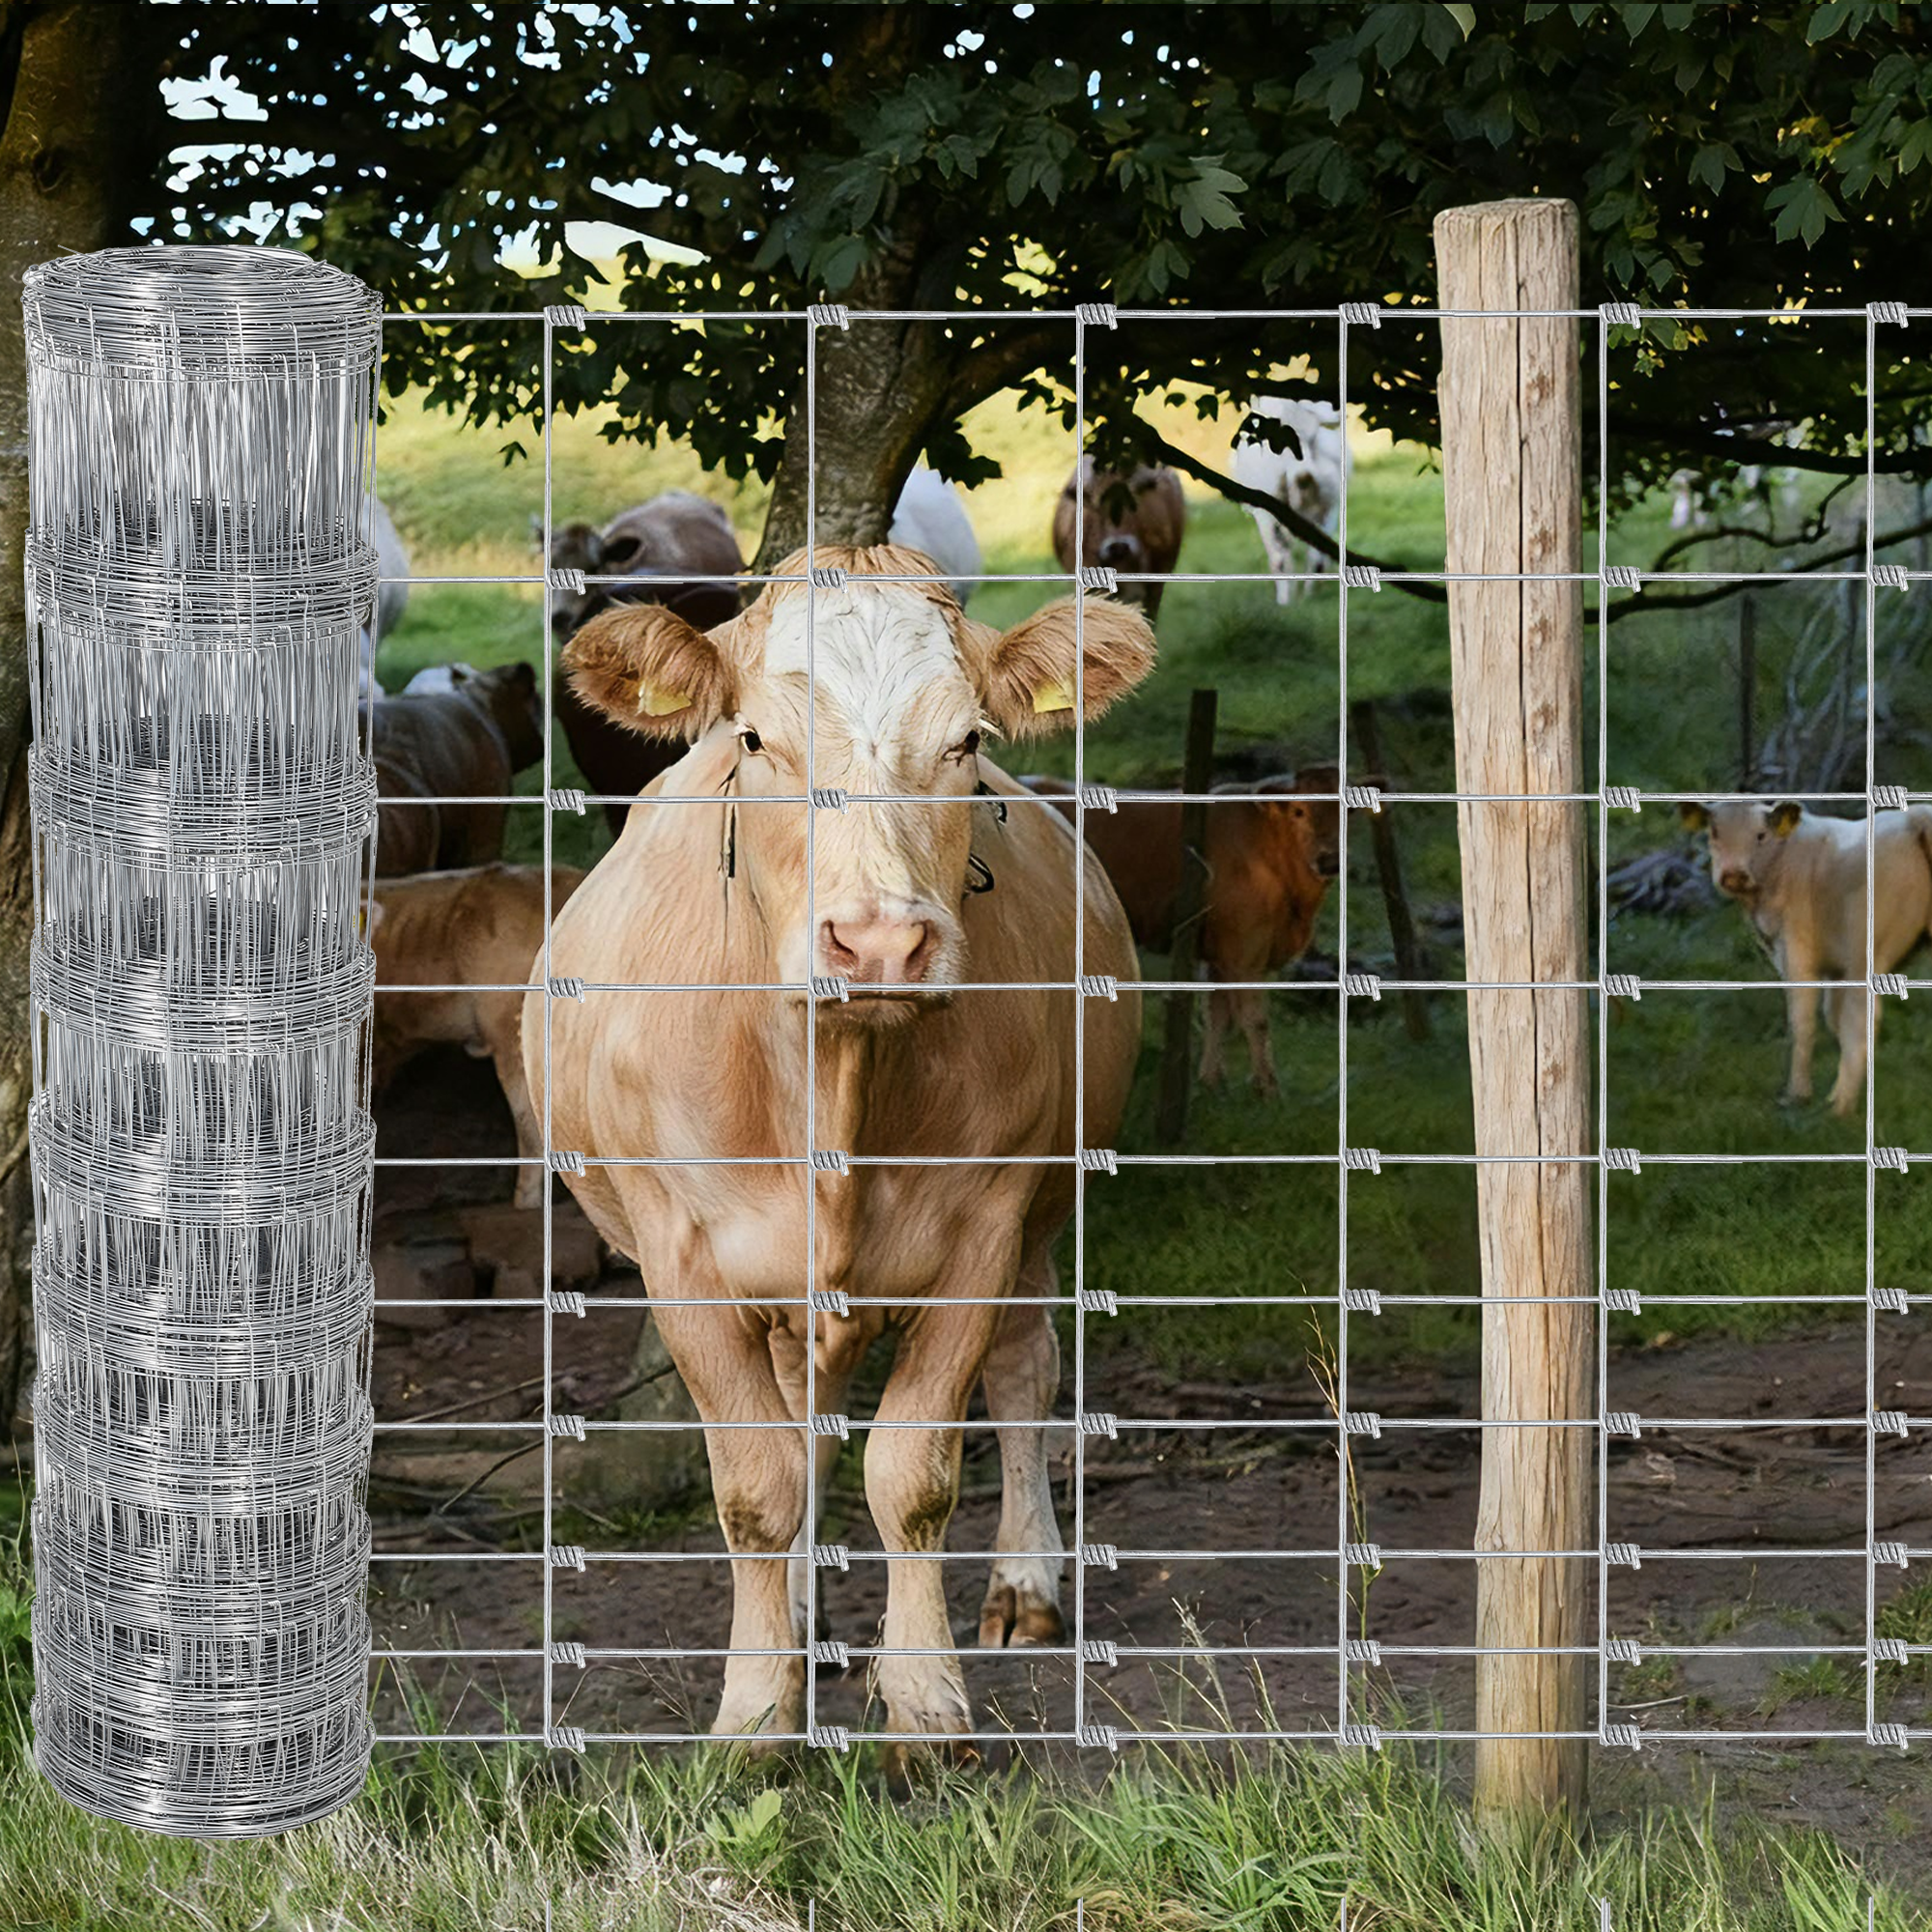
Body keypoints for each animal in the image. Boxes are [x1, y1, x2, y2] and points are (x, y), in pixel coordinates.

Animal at [525, 548, 1154, 1769]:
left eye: (966, 740)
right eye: (753, 738)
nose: (877, 942)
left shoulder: (982, 1230)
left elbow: (911, 1473)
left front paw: (924, 1701)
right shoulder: (683, 1258)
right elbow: (756, 1486)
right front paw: (754, 1709)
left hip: (1039, 1215)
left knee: (1022, 1371)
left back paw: (1022, 1582)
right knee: (803, 1423)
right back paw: (805, 1618)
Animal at [1024, 766, 1342, 1097]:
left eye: (1345, 811)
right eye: (1299, 811)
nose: (1329, 860)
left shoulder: (1221, 954)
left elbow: (1218, 1015)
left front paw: (1211, 1081)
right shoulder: (1245, 950)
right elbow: (1255, 1020)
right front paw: (1268, 1089)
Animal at [1231, 398, 1349, 604]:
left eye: (1312, 439)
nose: (1305, 476)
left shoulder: (1328, 508)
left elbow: (1315, 555)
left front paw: (1308, 595)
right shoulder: (1265, 515)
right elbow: (1281, 558)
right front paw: (1287, 600)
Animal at [1680, 798, 1932, 1116]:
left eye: (1761, 835)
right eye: (1714, 832)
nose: (1733, 874)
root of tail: (1913, 819)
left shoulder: (1796, 952)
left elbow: (1803, 1021)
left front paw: (1797, 1094)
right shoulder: (1834, 967)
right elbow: (1832, 1016)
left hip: (1866, 954)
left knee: (1862, 1019)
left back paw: (1840, 1107)